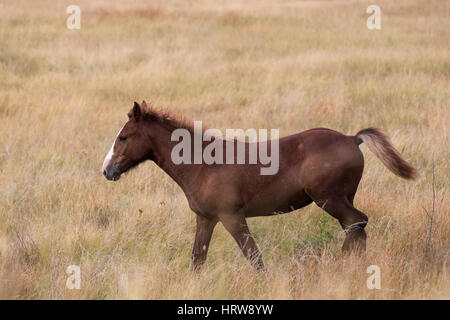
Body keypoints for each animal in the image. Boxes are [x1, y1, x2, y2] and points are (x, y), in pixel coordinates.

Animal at [102, 100, 418, 270]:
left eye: (124, 137)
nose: (107, 170)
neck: (202, 163)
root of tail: (352, 138)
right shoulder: (206, 218)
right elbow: (197, 259)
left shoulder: (231, 216)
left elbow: (254, 257)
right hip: (343, 197)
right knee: (356, 228)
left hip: (329, 198)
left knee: (357, 222)